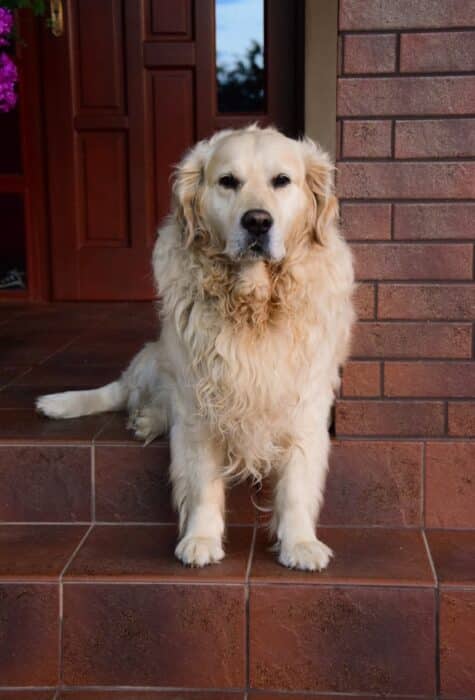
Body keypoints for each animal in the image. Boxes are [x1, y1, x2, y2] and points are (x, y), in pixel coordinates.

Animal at [38, 127, 356, 576]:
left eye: (282, 181)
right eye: (228, 181)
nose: (257, 221)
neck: (253, 303)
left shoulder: (305, 400)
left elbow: (296, 483)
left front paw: (300, 542)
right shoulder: (198, 399)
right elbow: (201, 480)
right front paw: (201, 538)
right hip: (159, 359)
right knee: (124, 391)